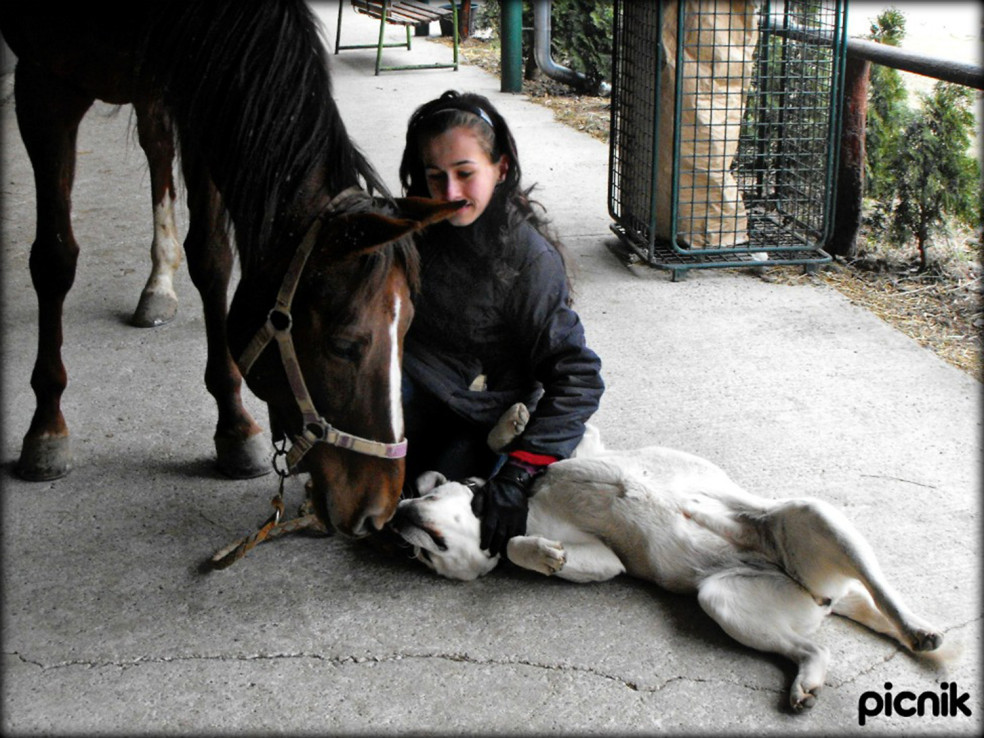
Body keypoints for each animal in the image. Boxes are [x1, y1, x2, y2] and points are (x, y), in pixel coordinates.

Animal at [0, 2, 462, 536]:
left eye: (407, 329)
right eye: (344, 345)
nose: (379, 510)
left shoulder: (207, 86)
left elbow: (211, 257)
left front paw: (235, 425)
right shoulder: (43, 84)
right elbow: (53, 259)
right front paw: (46, 426)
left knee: (157, 145)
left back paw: (159, 286)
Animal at [388, 408, 940, 708]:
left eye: (428, 496)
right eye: (421, 560)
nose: (395, 519)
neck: (523, 506)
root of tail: (823, 596)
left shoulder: (583, 446)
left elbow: (514, 446)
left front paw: (513, 424)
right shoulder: (603, 558)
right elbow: (523, 549)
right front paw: (544, 554)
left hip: (814, 516)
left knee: (882, 593)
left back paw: (918, 628)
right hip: (723, 600)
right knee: (814, 649)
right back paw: (809, 681)